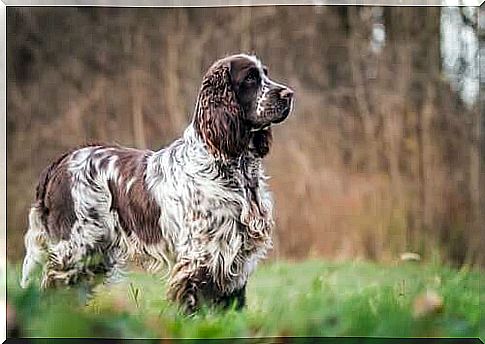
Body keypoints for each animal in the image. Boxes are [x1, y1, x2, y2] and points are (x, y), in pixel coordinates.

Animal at [20, 53, 294, 312]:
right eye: (250, 79)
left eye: (265, 74)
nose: (289, 94)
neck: (232, 168)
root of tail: (60, 162)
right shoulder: (202, 257)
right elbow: (198, 305)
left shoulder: (234, 259)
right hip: (75, 249)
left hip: (93, 255)